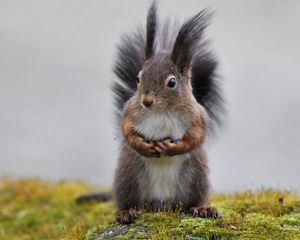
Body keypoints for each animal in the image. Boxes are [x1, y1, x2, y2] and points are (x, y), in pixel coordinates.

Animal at [76, 0, 224, 224]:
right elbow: (127, 130)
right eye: (138, 78)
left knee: (189, 203)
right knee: (129, 201)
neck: (161, 111)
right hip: (129, 175)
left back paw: (201, 209)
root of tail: (162, 204)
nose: (146, 101)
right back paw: (127, 212)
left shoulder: (197, 117)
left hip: (196, 175)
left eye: (171, 82)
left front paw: (173, 148)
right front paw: (143, 145)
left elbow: (196, 137)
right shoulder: (130, 111)